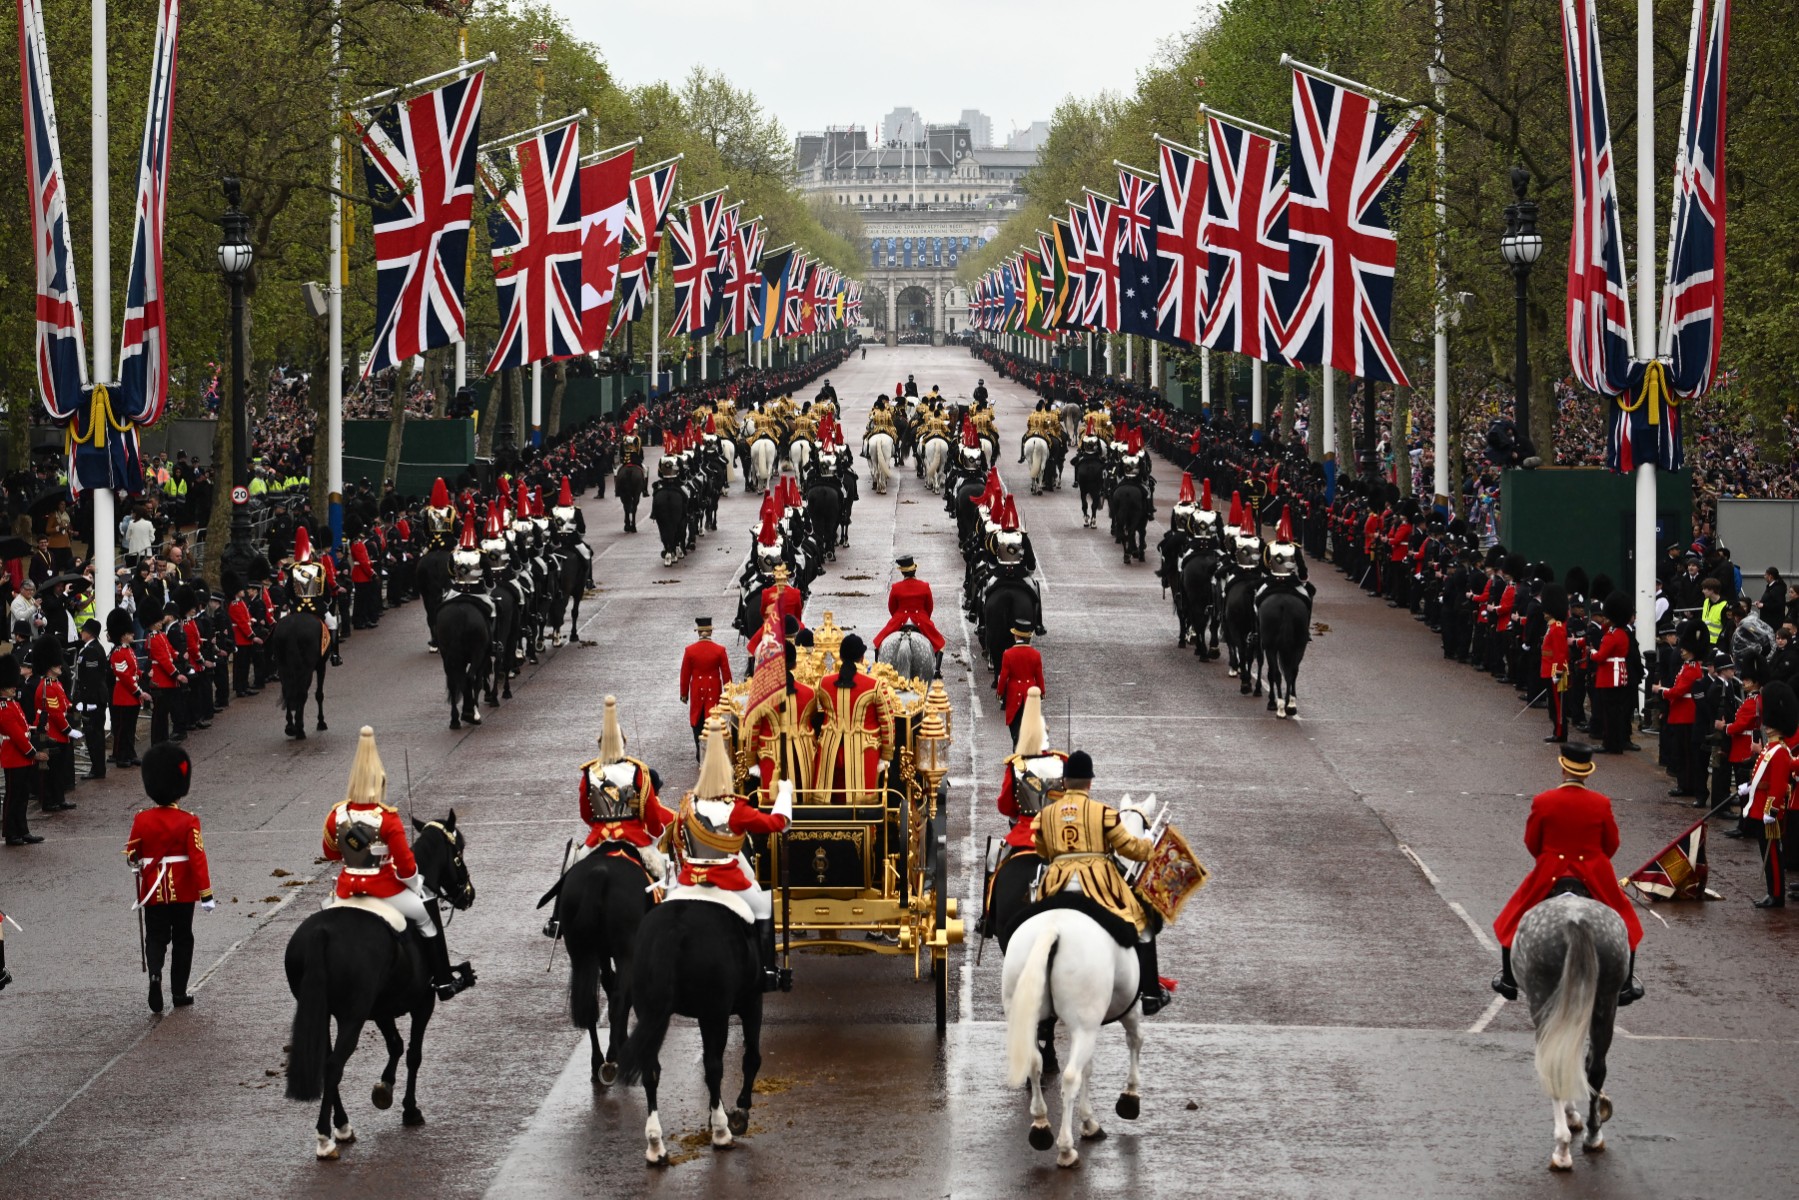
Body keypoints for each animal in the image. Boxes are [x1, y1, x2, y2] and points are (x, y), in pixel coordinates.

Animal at [282, 813, 474, 1158]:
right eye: (459, 853)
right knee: (334, 1065)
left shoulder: (382, 1007)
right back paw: (326, 1138)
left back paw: (342, 1125)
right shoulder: (422, 1002)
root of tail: (321, 933)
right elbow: (413, 1053)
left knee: (328, 1062)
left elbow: (395, 1045)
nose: (468, 894)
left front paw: (384, 1089)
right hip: (353, 1016)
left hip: (326, 1012)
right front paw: (410, 1109)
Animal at [622, 899, 762, 1165]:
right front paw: (739, 1111)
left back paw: (655, 1145)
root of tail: (673, 929)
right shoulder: (750, 1002)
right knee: (714, 1067)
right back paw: (721, 1132)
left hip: (654, 1014)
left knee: (651, 1071)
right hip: (715, 1013)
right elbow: (750, 1058)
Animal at [1007, 910, 1144, 1165]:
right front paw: (1129, 1096)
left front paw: (1088, 1121)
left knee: (1035, 1064)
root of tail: (1052, 929)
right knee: (1070, 1077)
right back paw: (1066, 1149)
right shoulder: (1126, 1011)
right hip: (1085, 1027)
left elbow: (1087, 1068)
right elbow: (1135, 1040)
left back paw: (1041, 1125)